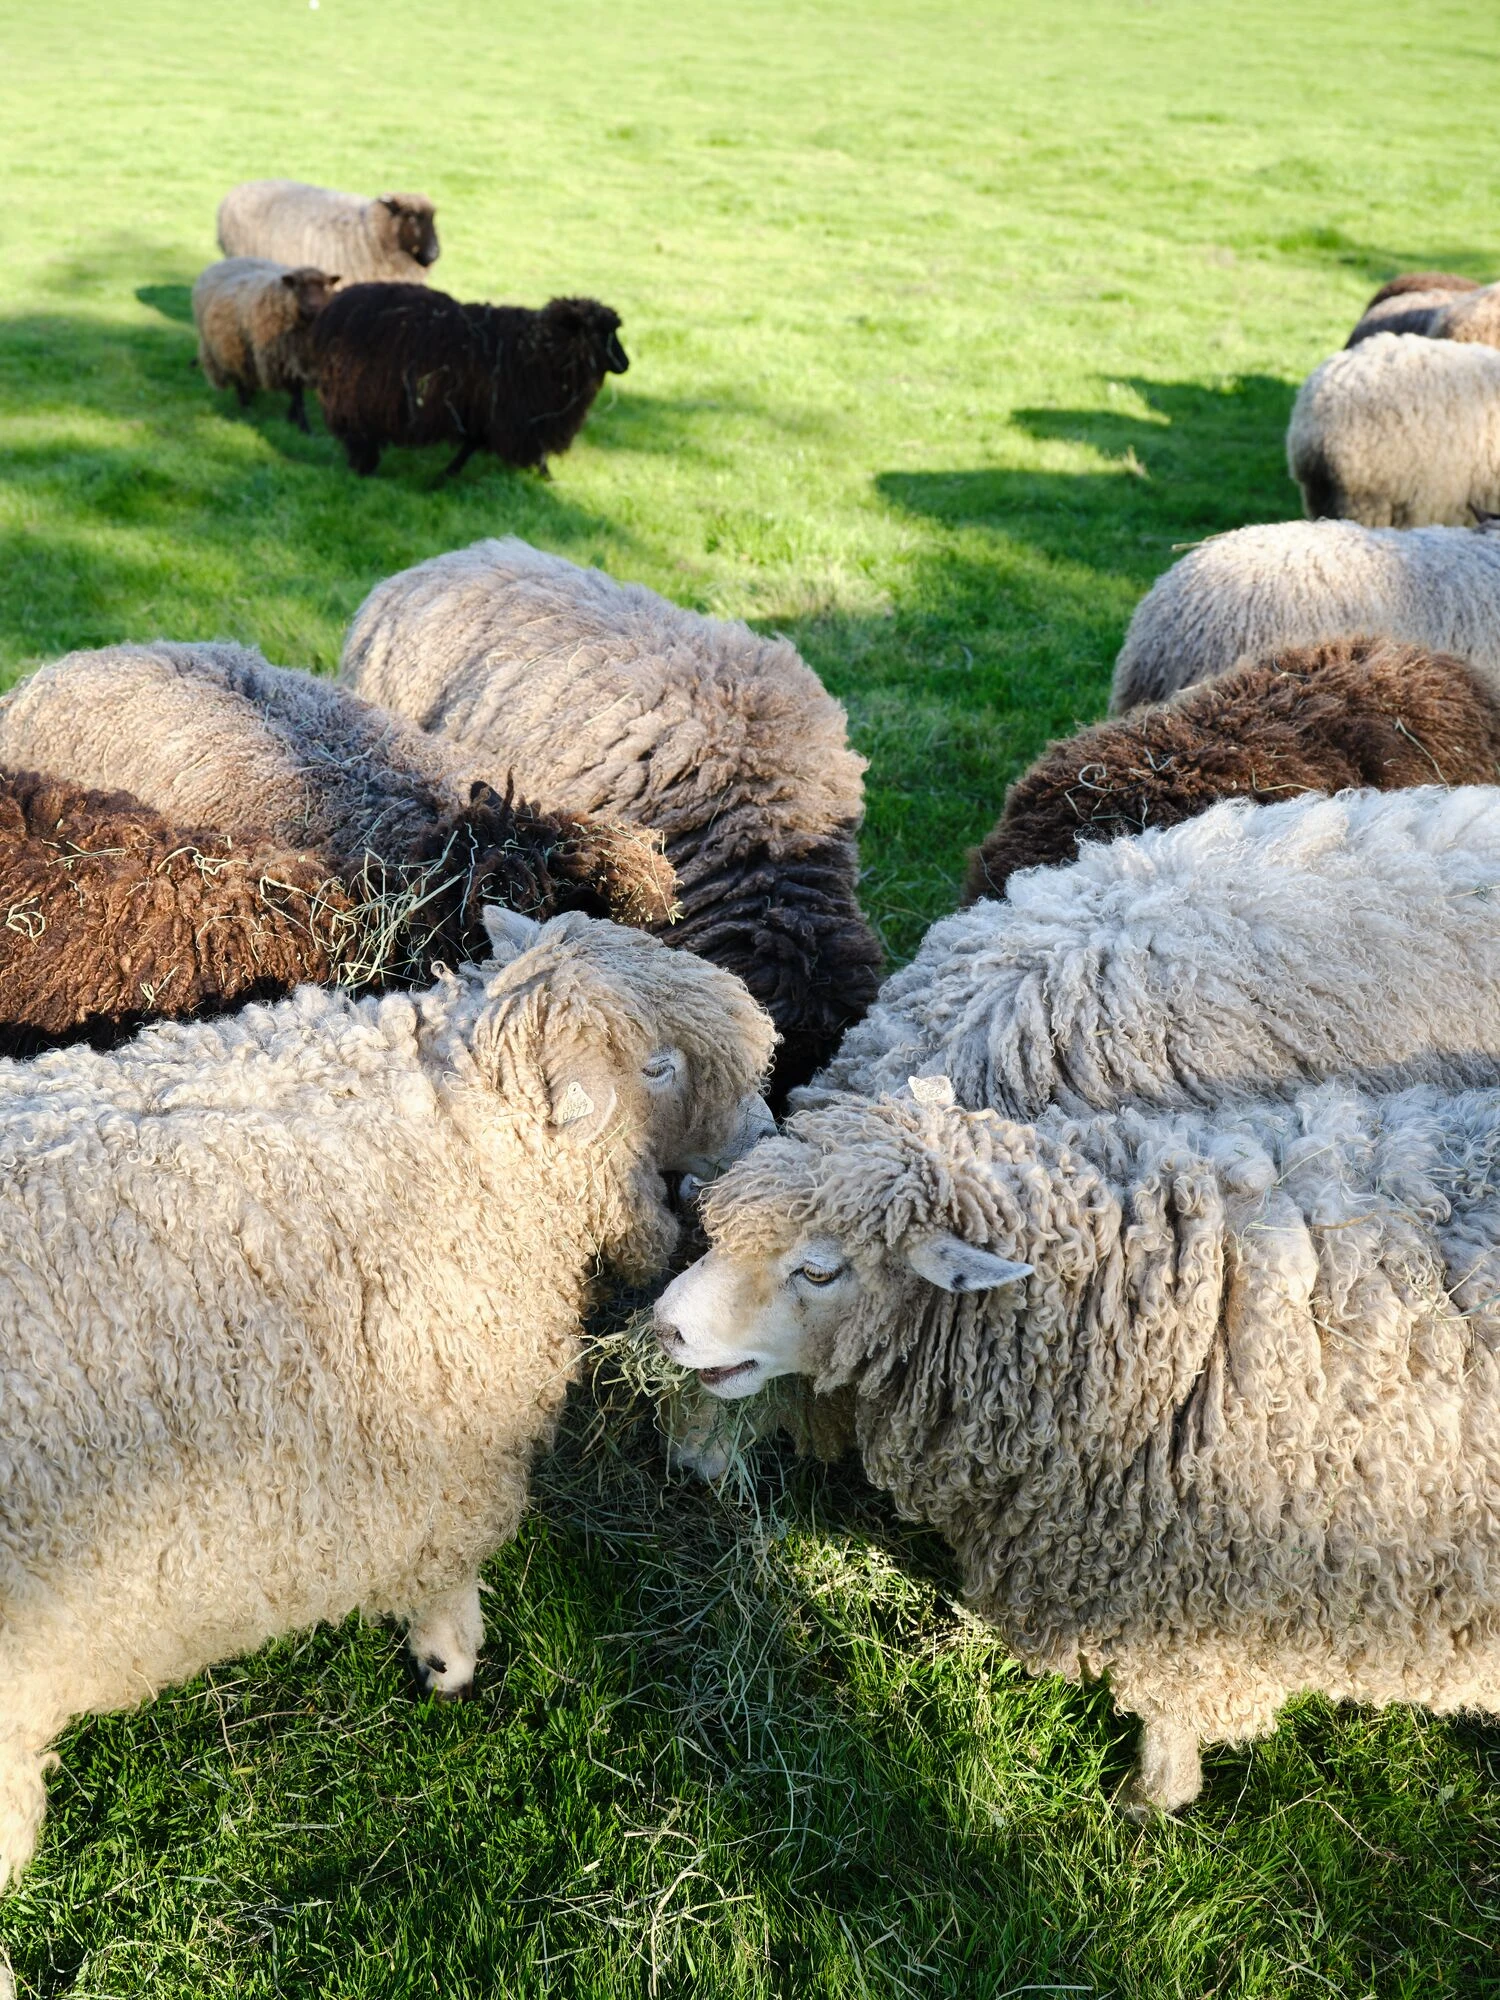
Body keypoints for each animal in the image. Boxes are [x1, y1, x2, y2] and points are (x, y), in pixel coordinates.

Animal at [0, 907, 777, 1890]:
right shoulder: (438, 1445)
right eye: (660, 1067)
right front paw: (449, 1661)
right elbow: (448, 1573)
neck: (473, 1129)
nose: (767, 1136)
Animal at [191, 257, 338, 432]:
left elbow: (297, 393)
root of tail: (223, 263)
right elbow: (298, 396)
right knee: (239, 378)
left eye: (324, 287)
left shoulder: (301, 362)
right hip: (230, 347)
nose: (315, 307)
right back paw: (245, 405)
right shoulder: (284, 361)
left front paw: (291, 418)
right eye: (299, 286)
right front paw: (304, 426)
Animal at [310, 286, 627, 478]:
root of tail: (334, 306)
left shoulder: (485, 412)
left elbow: (472, 445)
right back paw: (363, 468)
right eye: (603, 333)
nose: (626, 364)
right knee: (357, 433)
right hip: (355, 393)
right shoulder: (508, 412)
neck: (538, 348)